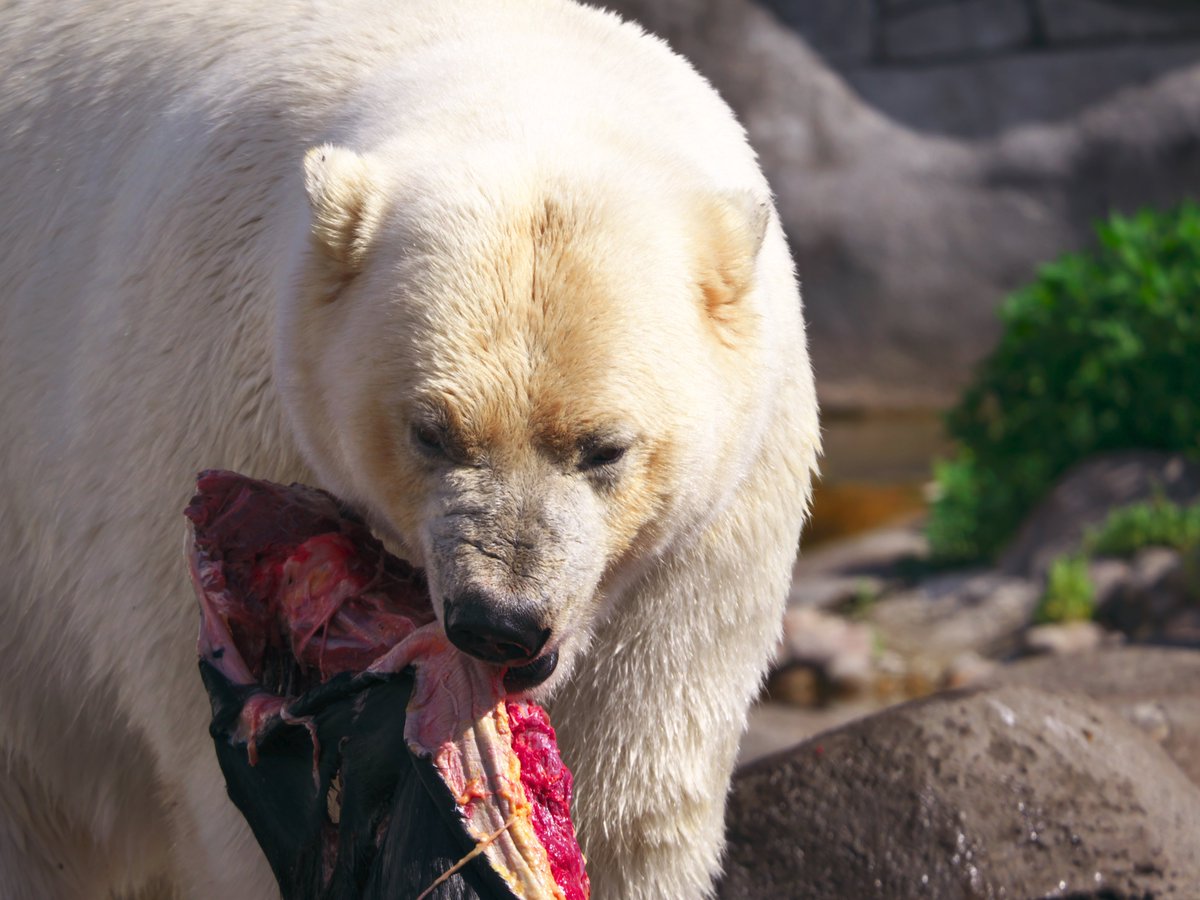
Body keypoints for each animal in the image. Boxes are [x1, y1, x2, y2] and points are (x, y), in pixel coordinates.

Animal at [0, 1, 820, 898]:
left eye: (604, 449)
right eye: (430, 430)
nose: (501, 623)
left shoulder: (696, 564)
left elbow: (629, 806)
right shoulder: (223, 412)